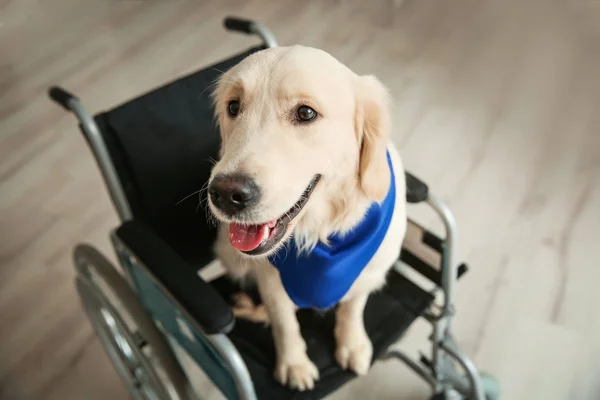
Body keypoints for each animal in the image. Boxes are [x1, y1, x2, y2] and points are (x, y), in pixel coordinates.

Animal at [206, 46, 408, 390]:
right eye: (233, 106)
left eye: (306, 113)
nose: (225, 194)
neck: (319, 235)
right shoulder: (271, 282)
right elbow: (285, 323)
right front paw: (294, 364)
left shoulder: (368, 272)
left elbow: (353, 306)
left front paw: (352, 343)